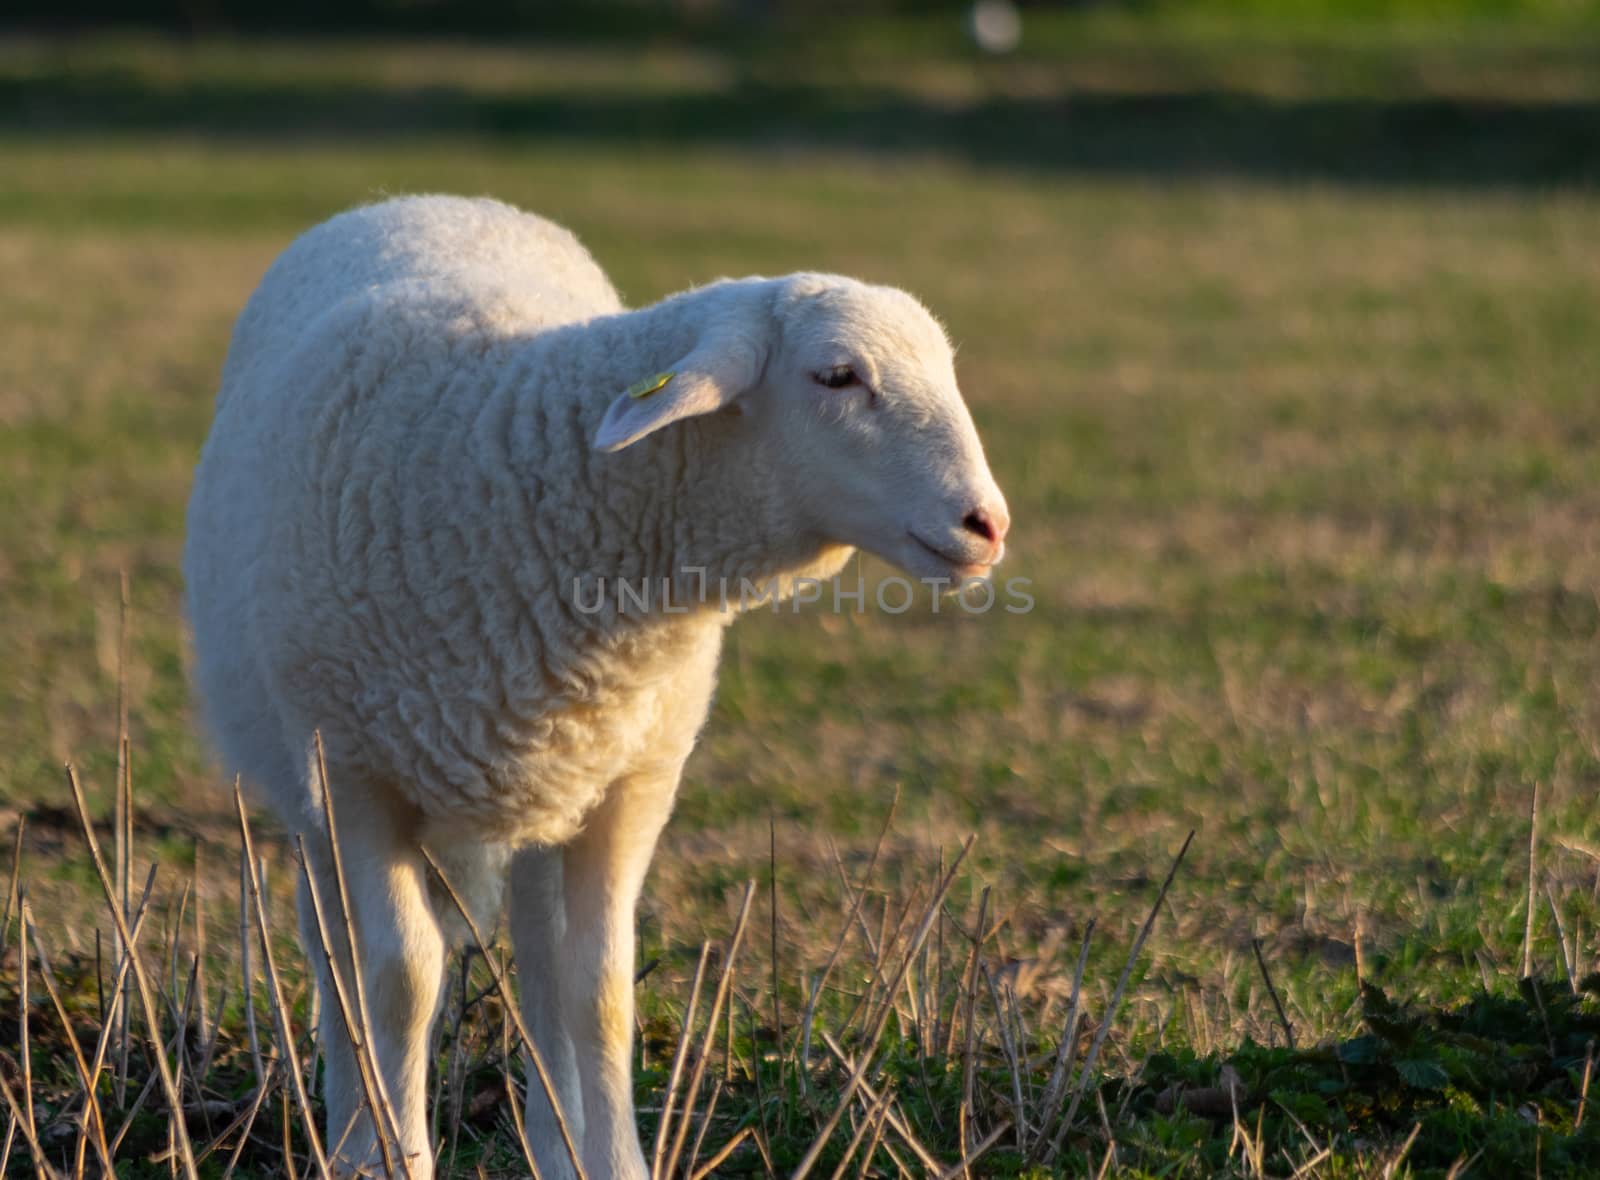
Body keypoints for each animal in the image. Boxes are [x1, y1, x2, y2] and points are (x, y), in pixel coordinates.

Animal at [181, 195, 1004, 1176]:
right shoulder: (352, 772)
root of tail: (426, 199)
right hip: (305, 781)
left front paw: (611, 1160)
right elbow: (398, 979)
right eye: (838, 376)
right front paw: (398, 1155)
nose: (987, 525)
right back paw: (351, 1137)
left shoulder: (632, 782)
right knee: (335, 949)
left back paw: (553, 1145)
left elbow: (599, 991)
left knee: (540, 967)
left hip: (551, 789)